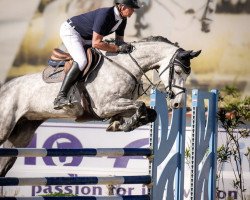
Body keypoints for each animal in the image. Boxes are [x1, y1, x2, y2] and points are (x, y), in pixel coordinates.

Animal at [0, 36, 200, 177]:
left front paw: (120, 124)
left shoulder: (118, 105)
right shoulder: (105, 107)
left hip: (21, 133)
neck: (126, 65)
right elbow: (141, 106)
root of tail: (4, 88)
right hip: (4, 128)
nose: (178, 103)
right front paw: (127, 124)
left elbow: (150, 112)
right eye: (179, 71)